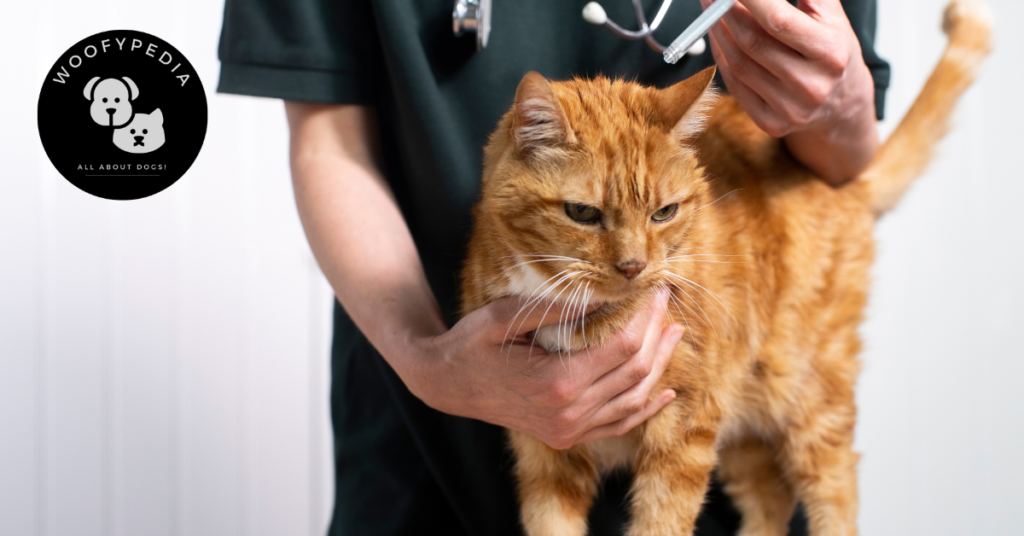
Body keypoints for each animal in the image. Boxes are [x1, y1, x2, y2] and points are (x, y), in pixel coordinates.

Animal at [460, 2, 987, 532]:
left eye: (664, 213)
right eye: (582, 214)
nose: (634, 266)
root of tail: (840, 184)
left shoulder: (686, 426)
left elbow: (662, 519)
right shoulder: (542, 445)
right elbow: (550, 519)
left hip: (809, 393)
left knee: (835, 493)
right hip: (740, 418)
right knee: (770, 496)